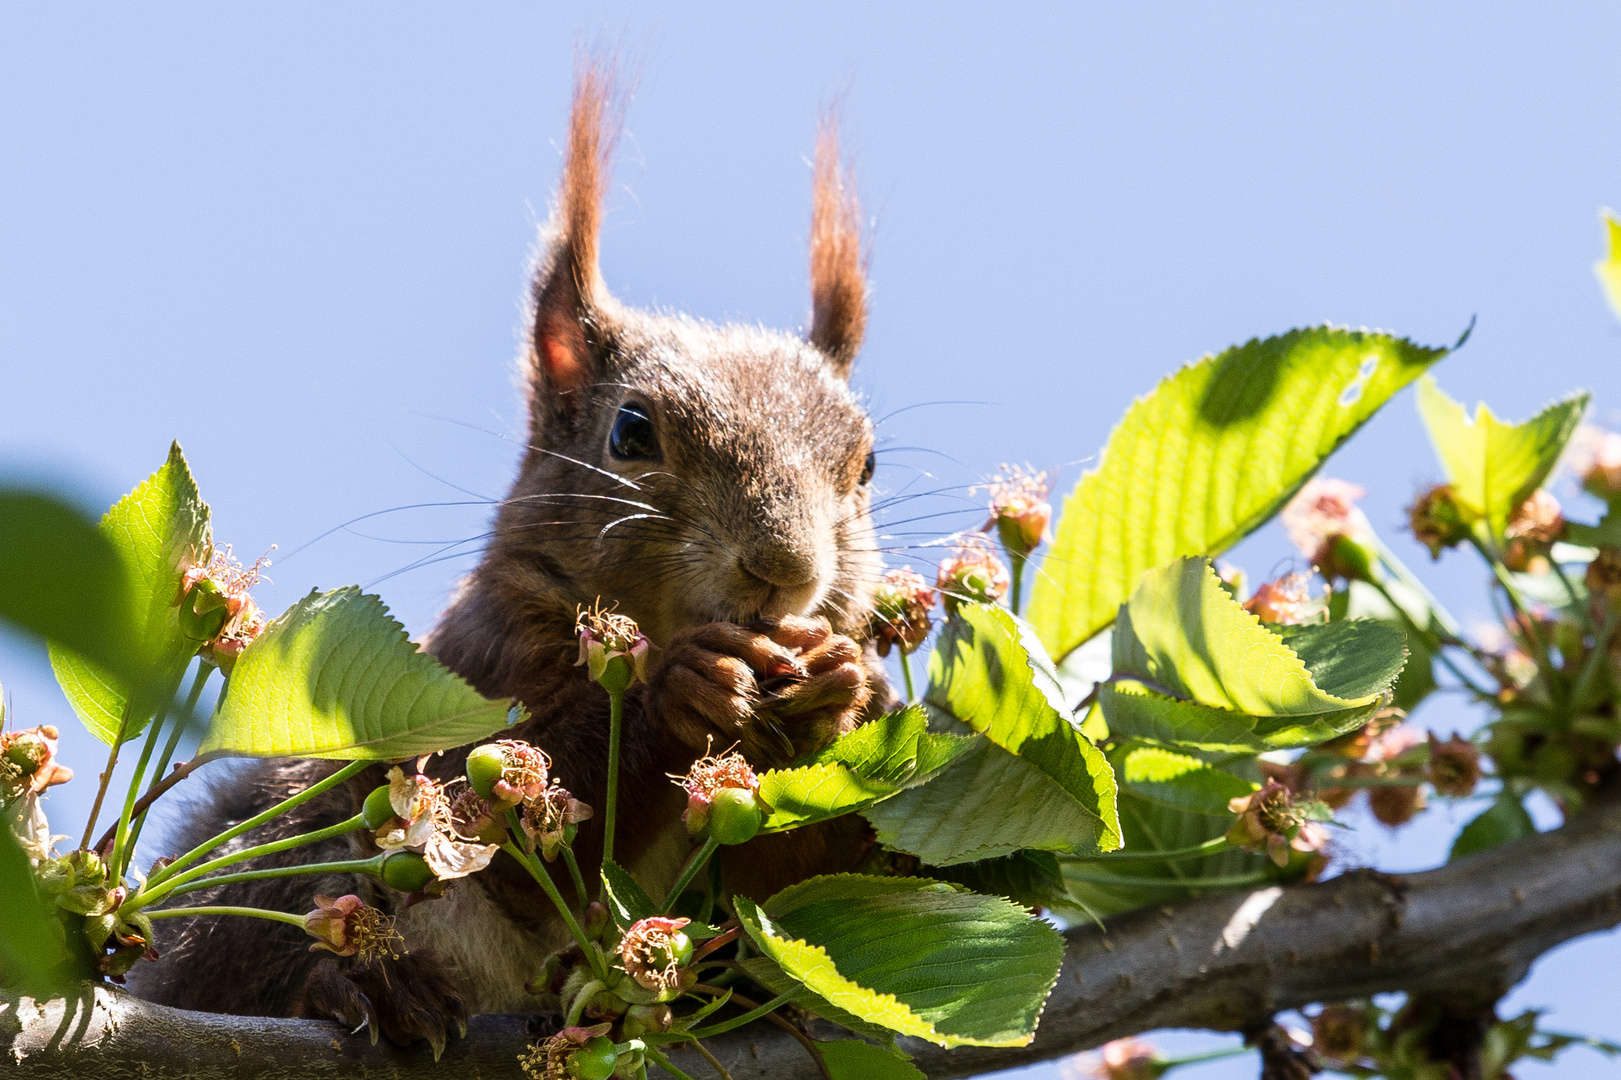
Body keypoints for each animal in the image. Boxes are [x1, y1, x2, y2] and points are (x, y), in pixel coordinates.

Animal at [131, 60, 894, 1050]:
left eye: (867, 464)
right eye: (631, 432)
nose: (784, 572)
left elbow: (802, 905)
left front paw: (847, 689)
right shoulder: (482, 662)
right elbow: (512, 840)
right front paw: (682, 688)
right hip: (278, 865)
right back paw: (363, 987)